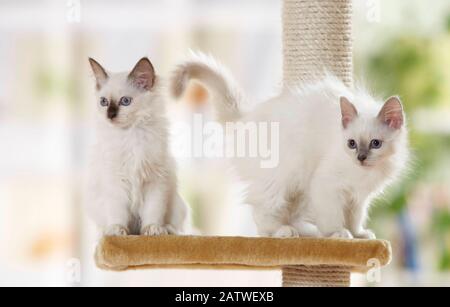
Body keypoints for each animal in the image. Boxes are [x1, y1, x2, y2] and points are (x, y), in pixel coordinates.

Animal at [85, 56, 188, 237]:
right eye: (104, 102)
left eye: (125, 101)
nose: (110, 115)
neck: (130, 135)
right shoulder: (116, 182)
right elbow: (118, 213)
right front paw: (117, 231)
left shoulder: (156, 181)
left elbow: (153, 212)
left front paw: (153, 230)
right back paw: (107, 231)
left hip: (176, 205)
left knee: (170, 225)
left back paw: (166, 230)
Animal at [170, 56, 408, 241]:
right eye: (352, 144)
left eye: (375, 144)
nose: (361, 157)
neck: (363, 174)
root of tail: (247, 118)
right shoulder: (327, 185)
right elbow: (333, 216)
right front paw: (338, 234)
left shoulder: (358, 197)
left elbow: (355, 218)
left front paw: (358, 235)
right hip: (282, 179)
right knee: (262, 216)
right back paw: (283, 233)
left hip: (299, 189)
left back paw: (304, 231)